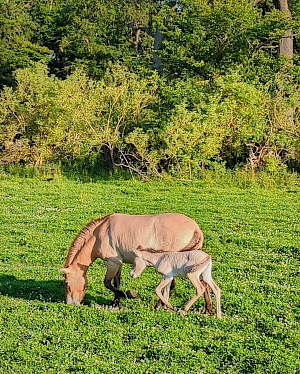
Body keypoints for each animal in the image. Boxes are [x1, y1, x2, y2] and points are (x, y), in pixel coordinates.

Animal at [59, 212, 212, 312]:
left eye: (67, 284)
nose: (71, 304)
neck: (99, 234)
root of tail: (195, 228)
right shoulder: (119, 262)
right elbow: (116, 282)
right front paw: (116, 303)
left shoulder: (113, 262)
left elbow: (107, 283)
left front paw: (129, 294)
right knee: (203, 283)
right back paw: (208, 309)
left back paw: (160, 306)